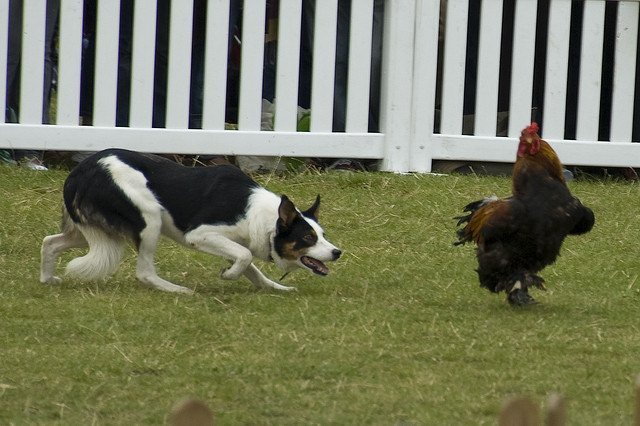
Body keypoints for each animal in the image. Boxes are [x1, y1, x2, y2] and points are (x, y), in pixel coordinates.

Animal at [39, 149, 340, 292]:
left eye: (323, 235)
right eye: (308, 238)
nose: (338, 252)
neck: (261, 217)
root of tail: (79, 172)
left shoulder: (228, 242)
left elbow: (250, 266)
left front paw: (275, 287)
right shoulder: (201, 235)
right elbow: (245, 258)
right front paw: (229, 276)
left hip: (90, 230)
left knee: (49, 242)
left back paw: (48, 279)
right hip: (149, 220)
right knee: (144, 272)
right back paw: (178, 290)